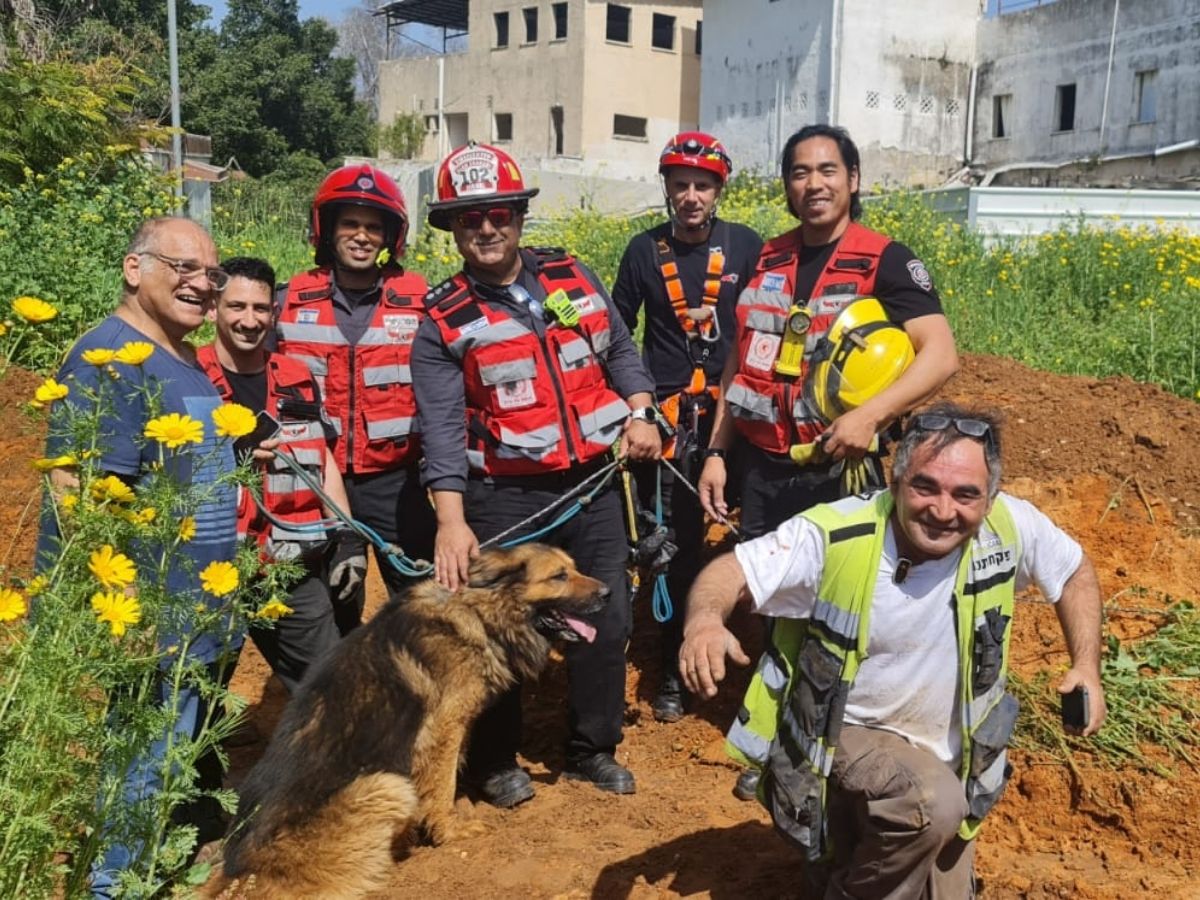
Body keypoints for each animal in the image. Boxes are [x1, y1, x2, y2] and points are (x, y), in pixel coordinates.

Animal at [205, 542, 609, 900]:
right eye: (559, 576)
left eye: (573, 568)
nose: (607, 592)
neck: (479, 611)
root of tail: (237, 868)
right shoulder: (445, 727)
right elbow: (443, 784)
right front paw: (449, 832)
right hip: (385, 785)